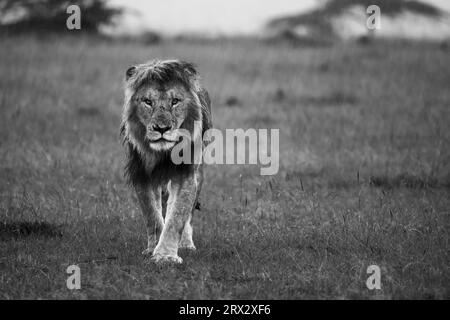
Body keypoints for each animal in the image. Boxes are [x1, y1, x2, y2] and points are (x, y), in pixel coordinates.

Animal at [119, 59, 211, 262]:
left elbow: (177, 215)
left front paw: (166, 256)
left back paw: (186, 244)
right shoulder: (141, 173)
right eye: (148, 102)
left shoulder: (186, 173)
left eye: (175, 101)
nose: (162, 128)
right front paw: (153, 249)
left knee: (187, 214)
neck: (162, 153)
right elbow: (152, 215)